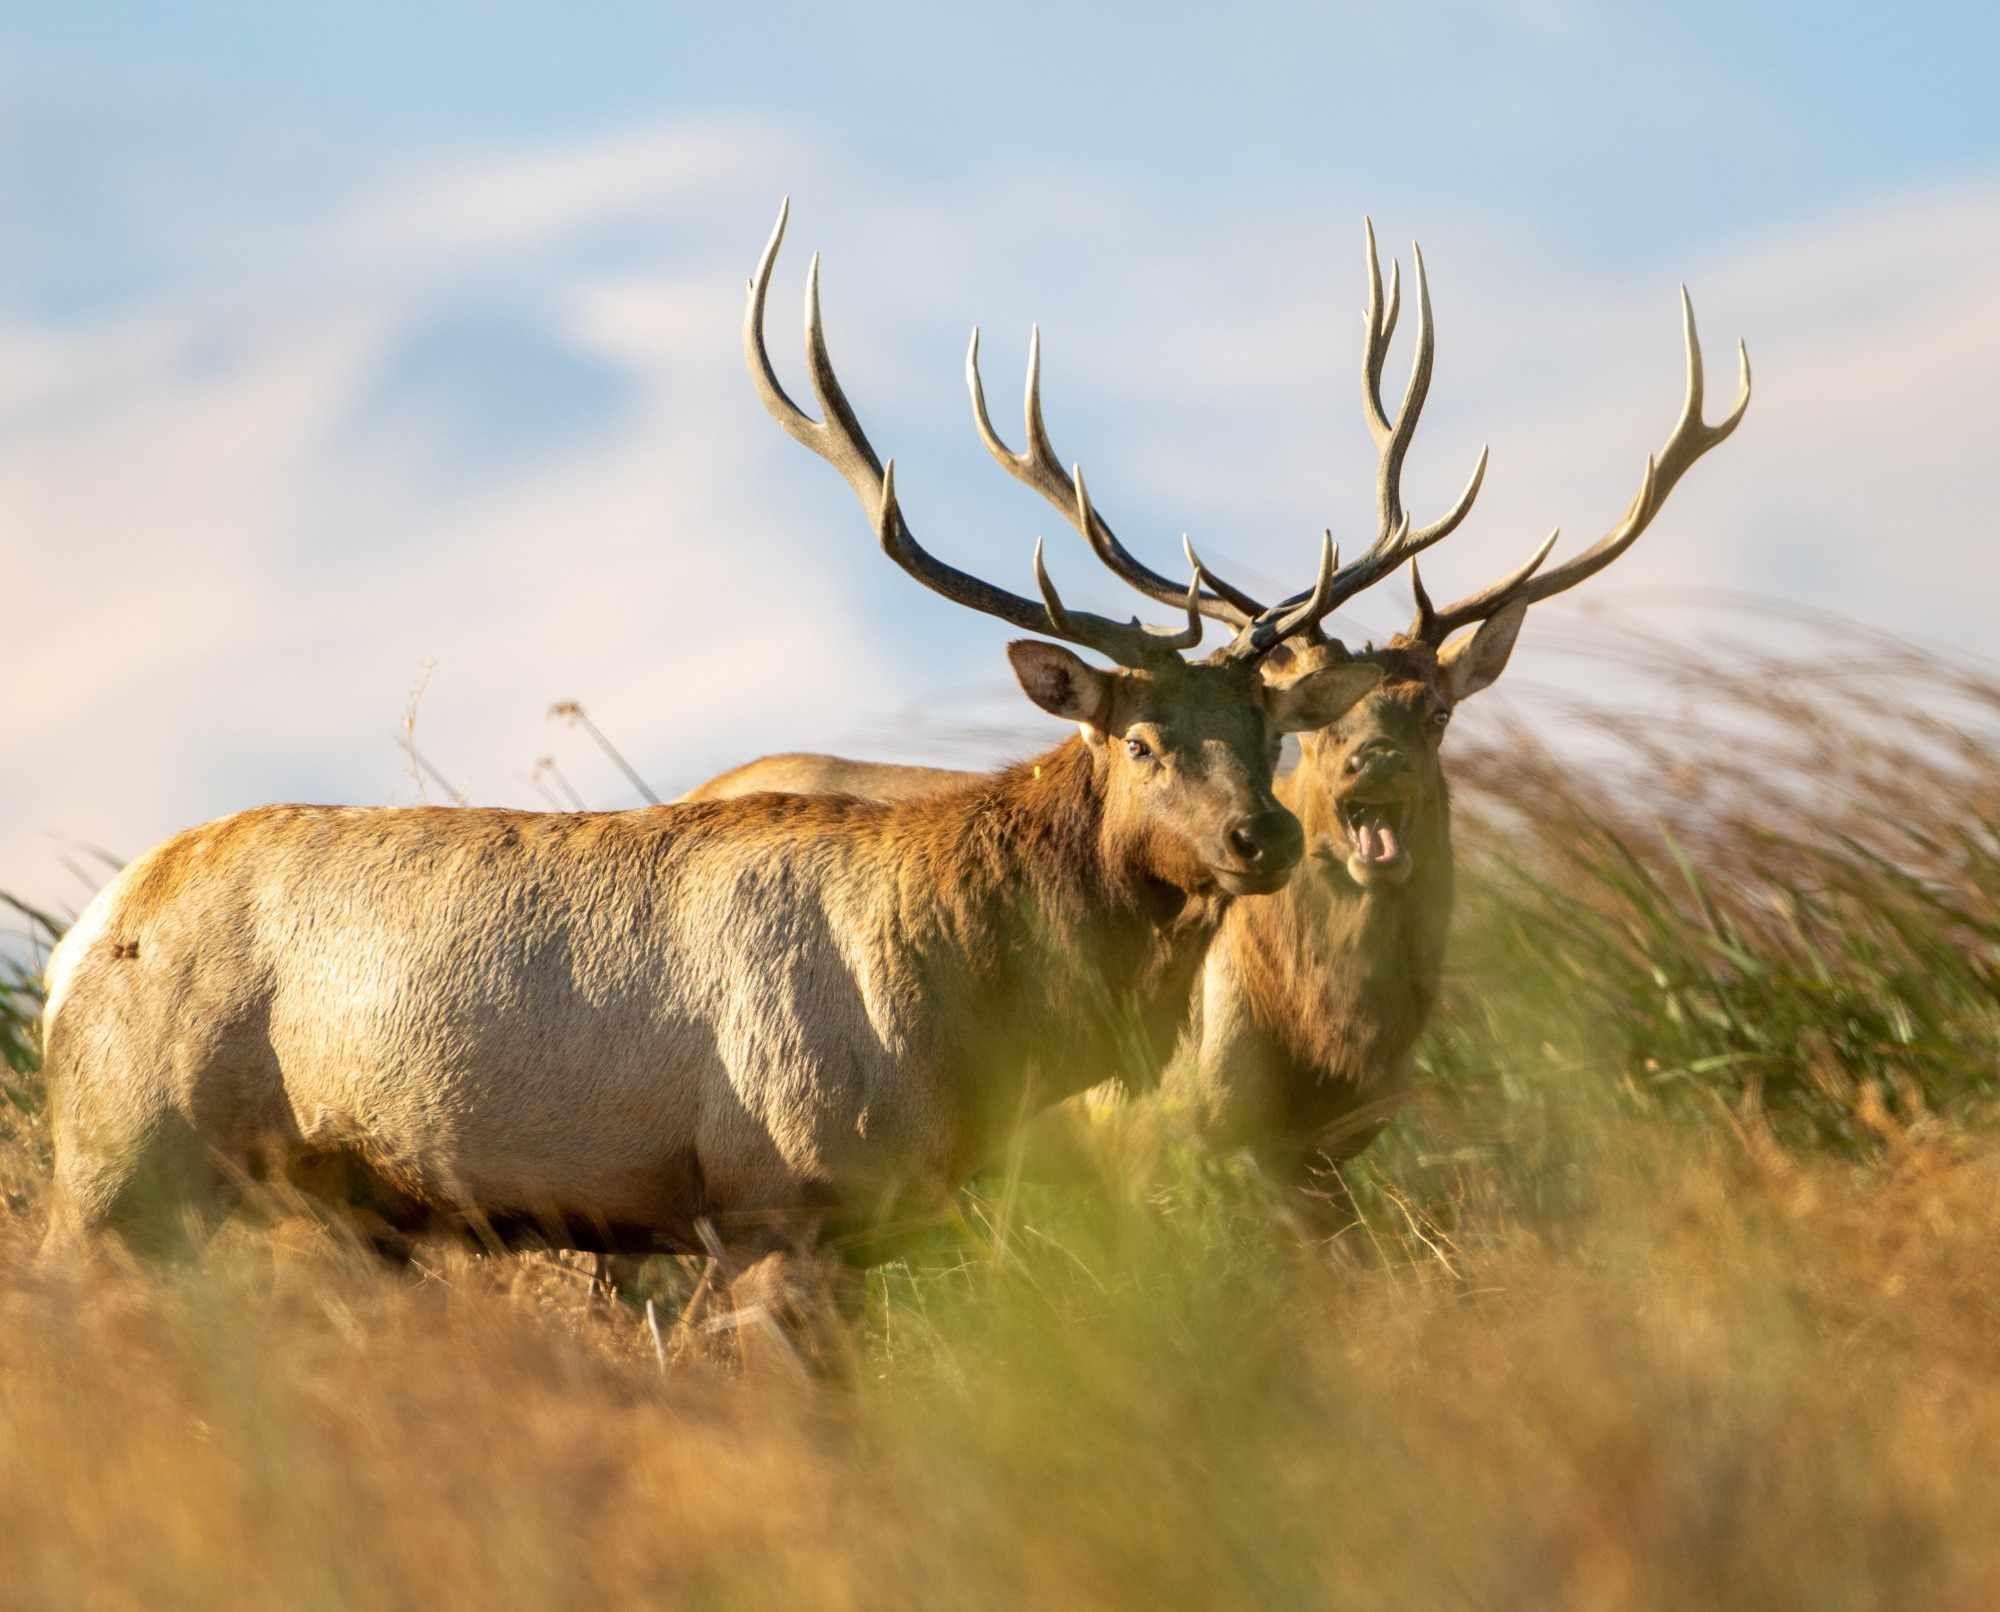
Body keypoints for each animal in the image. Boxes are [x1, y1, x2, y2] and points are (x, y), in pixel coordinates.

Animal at [36, 202, 1380, 1352]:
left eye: (1267, 733)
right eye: (1141, 742)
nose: (1262, 837)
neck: (965, 1006)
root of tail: (74, 945)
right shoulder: (773, 1192)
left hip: (338, 1213)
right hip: (117, 1159)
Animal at [683, 220, 1752, 1227]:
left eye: (1436, 709)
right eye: (1319, 726)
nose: (1371, 766)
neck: (1312, 1046)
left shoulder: (1328, 1160)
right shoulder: (1138, 1146)